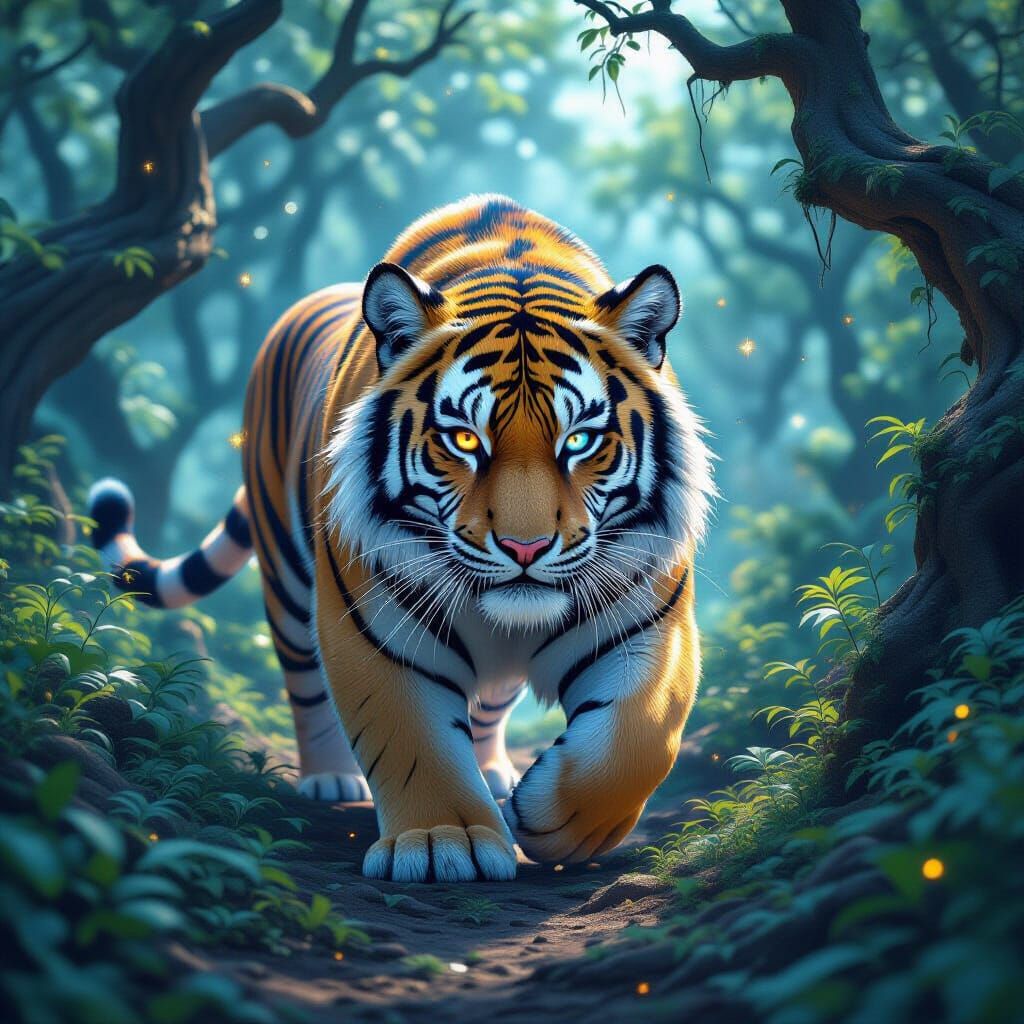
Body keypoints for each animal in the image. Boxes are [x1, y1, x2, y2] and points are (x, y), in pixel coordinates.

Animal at [89, 194, 713, 882]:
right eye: (464, 439)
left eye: (578, 440)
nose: (524, 550)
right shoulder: (376, 623)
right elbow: (411, 737)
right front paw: (445, 844)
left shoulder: (649, 619)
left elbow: (639, 737)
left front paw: (561, 822)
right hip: (287, 577)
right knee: (305, 683)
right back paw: (330, 780)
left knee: (492, 700)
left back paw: (495, 773)